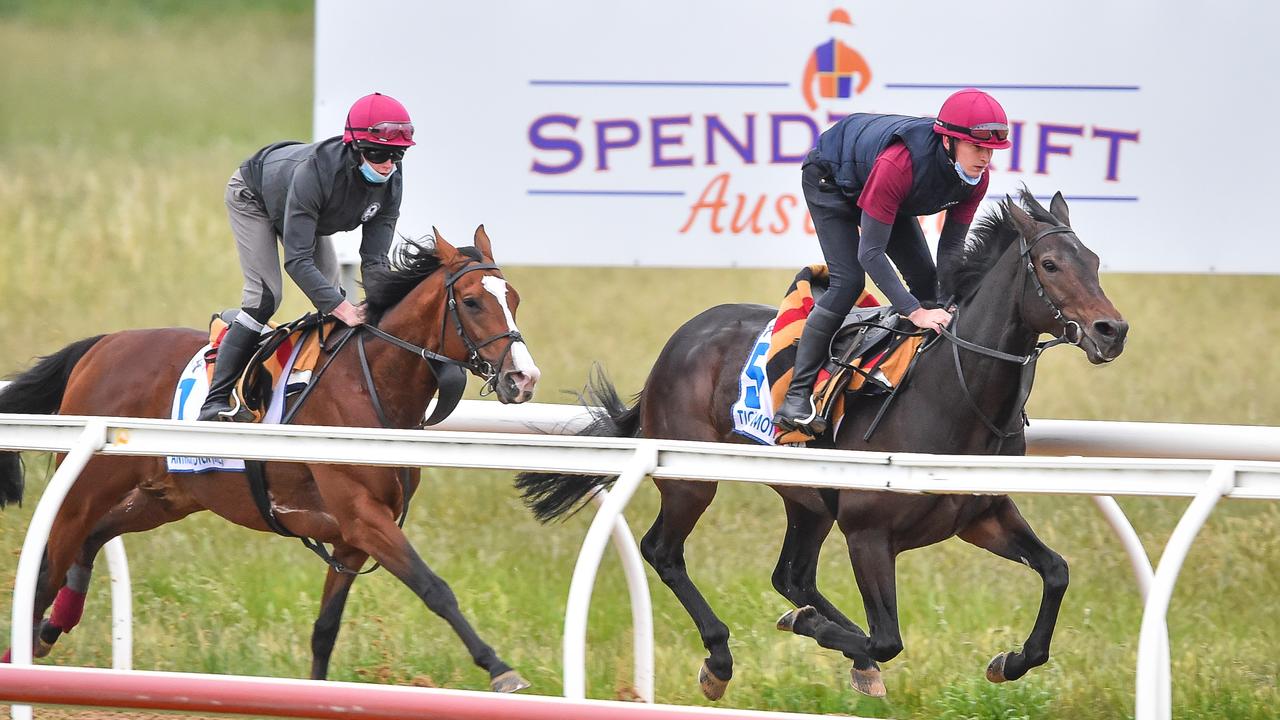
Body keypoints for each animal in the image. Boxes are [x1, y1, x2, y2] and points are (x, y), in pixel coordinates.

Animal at [0, 226, 540, 691]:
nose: (524, 378)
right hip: (87, 487)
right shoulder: (363, 517)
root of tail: (101, 346)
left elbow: (325, 630)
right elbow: (434, 587)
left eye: (514, 299)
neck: (369, 385)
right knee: (48, 570)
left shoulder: (351, 539)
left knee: (90, 541)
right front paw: (500, 669)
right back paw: (25, 651)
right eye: (471, 301)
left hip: (163, 497)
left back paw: (50, 631)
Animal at [514, 193, 1126, 696]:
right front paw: (815, 629)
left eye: (1095, 261)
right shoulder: (868, 533)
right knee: (664, 551)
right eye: (1050, 265)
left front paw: (1011, 660)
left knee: (792, 575)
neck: (954, 394)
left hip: (806, 498)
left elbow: (1056, 572)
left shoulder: (982, 514)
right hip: (693, 478)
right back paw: (721, 658)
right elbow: (887, 637)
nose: (1111, 331)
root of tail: (680, 340)